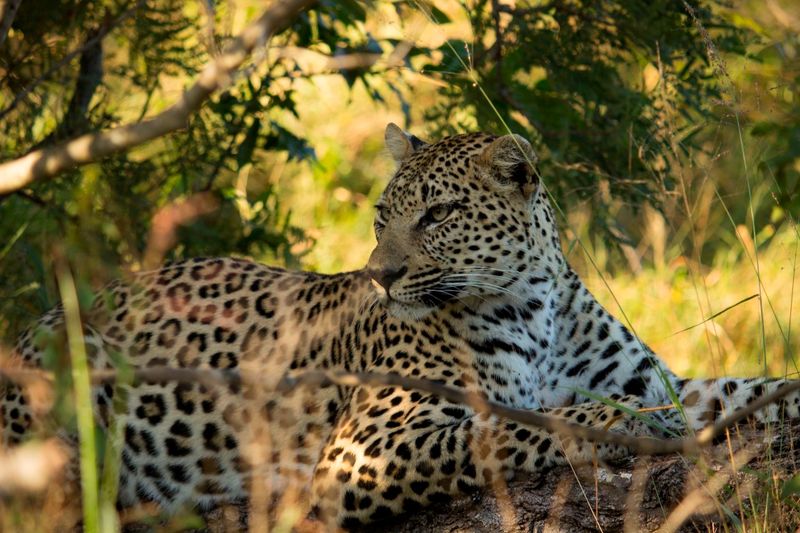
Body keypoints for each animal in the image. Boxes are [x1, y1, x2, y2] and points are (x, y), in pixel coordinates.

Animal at [2, 124, 799, 529]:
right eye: (383, 216)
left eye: (438, 215)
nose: (382, 275)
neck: (535, 303)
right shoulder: (361, 449)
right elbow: (512, 425)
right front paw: (620, 422)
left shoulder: (668, 380)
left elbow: (748, 389)